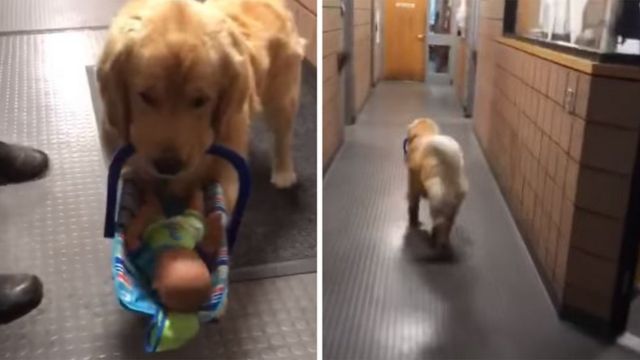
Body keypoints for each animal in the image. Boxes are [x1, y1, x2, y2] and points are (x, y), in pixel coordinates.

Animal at [97, 0, 304, 211]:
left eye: (201, 100)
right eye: (146, 96)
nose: (168, 166)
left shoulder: (224, 177)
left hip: (282, 99)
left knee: (283, 136)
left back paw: (284, 172)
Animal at [408, 118, 468, 250]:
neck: (423, 135)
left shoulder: (412, 186)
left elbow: (413, 207)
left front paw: (413, 223)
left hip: (436, 203)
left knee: (439, 226)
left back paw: (435, 242)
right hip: (453, 208)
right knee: (447, 225)